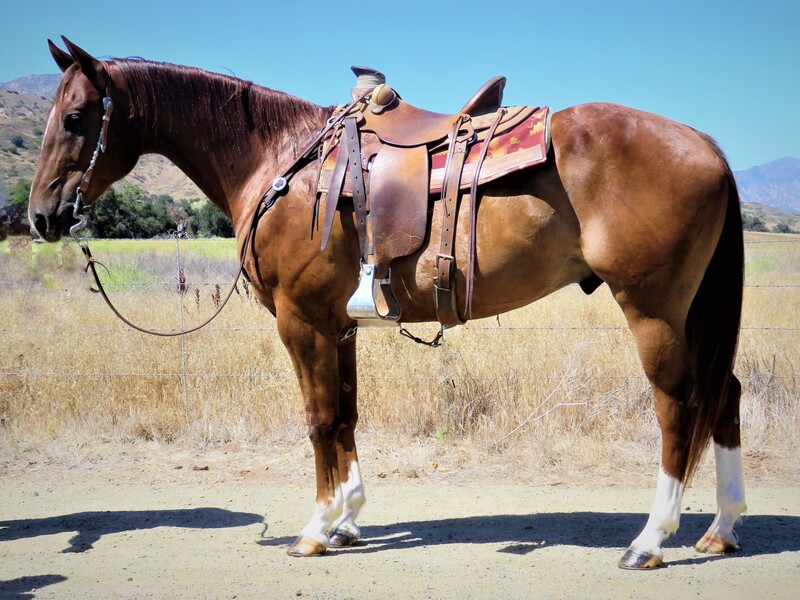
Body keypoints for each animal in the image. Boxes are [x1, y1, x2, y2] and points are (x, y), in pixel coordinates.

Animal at [28, 38, 748, 572]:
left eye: (75, 117)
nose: (39, 216)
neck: (278, 161)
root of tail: (706, 144)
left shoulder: (301, 321)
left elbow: (319, 419)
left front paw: (315, 529)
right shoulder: (338, 325)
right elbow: (346, 415)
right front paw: (348, 518)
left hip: (653, 308)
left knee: (679, 404)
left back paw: (650, 541)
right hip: (693, 311)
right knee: (726, 396)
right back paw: (720, 529)